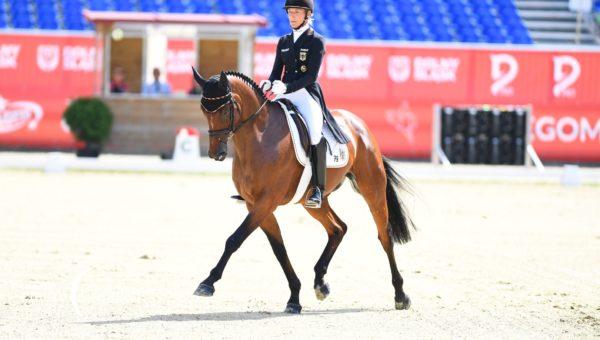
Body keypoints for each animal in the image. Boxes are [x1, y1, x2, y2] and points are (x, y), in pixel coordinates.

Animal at [191, 68, 412, 314]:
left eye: (225, 109)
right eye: (204, 109)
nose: (216, 154)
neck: (259, 139)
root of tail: (358, 124)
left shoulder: (265, 203)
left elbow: (235, 239)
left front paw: (208, 282)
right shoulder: (255, 205)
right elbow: (279, 250)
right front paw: (295, 297)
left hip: (372, 188)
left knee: (384, 236)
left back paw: (401, 295)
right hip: (312, 202)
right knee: (338, 228)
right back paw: (320, 284)